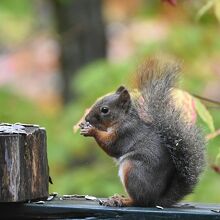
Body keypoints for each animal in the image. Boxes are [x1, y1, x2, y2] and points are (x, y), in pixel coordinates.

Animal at [79, 57, 206, 207]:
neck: (124, 119)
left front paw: (91, 130)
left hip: (133, 169)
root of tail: (156, 199)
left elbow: (111, 146)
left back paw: (122, 200)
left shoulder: (125, 133)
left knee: (139, 200)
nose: (87, 118)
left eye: (105, 110)